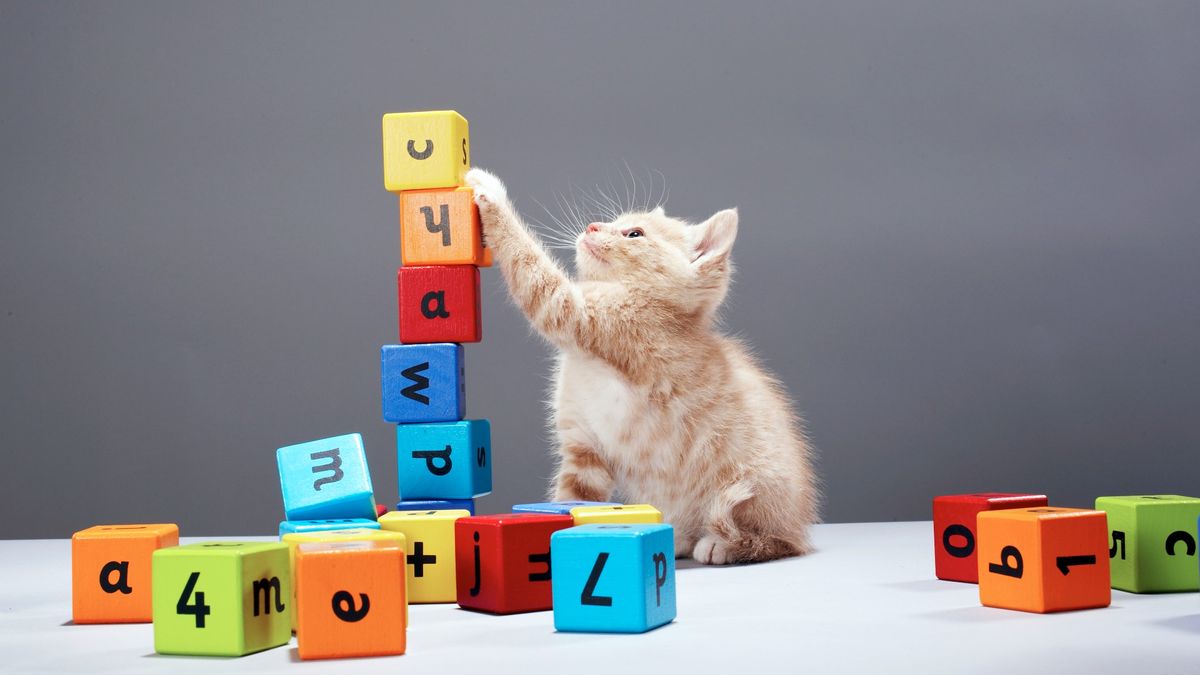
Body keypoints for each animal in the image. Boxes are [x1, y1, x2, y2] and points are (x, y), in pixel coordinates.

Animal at [463, 166, 820, 562]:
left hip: (757, 487)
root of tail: (799, 526)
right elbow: (573, 499)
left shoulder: (583, 315)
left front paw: (490, 193)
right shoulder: (584, 448)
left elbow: (531, 269)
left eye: (633, 233)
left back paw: (723, 544)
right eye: (615, 223)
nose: (592, 226)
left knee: (776, 542)